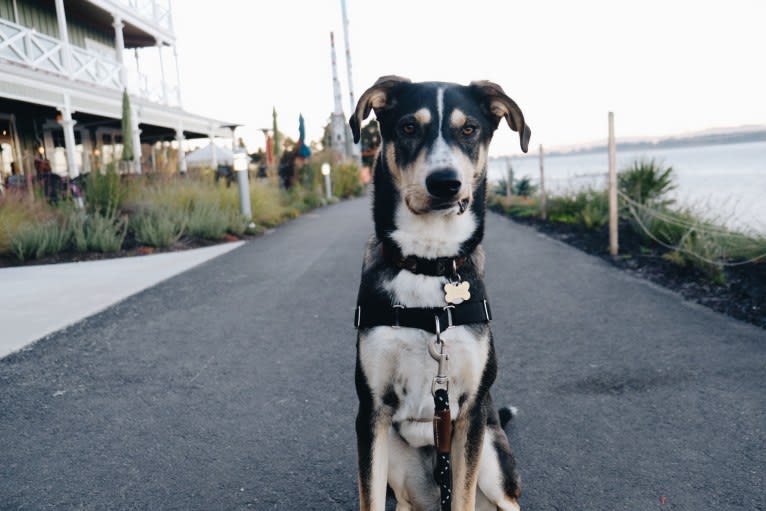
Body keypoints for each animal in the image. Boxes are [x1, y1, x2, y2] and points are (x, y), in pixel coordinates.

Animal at [352, 77, 532, 511]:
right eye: (408, 128)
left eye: (468, 129)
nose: (445, 183)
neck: (428, 260)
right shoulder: (371, 415)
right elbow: (370, 499)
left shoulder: (469, 412)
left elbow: (462, 499)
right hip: (399, 462)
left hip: (494, 461)